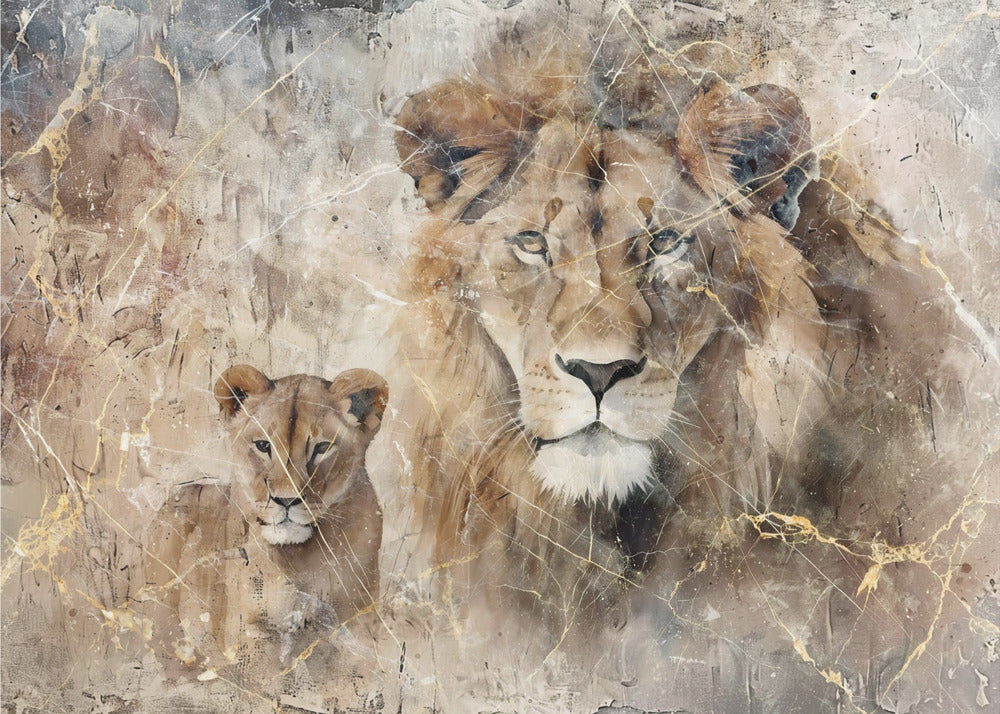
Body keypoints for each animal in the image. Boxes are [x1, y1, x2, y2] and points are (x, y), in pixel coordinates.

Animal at [143, 365, 388, 676]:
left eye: (322, 448)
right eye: (262, 445)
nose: (285, 500)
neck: (301, 560)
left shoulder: (356, 625)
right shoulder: (248, 631)